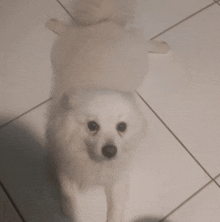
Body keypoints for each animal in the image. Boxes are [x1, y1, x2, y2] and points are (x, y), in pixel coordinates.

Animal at [45, 0, 169, 222]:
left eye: (122, 127)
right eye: (92, 125)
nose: (110, 151)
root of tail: (106, 23)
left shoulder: (118, 180)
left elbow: (115, 209)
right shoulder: (63, 163)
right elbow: (68, 192)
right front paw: (69, 209)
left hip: (137, 54)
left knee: (145, 42)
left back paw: (163, 46)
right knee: (69, 29)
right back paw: (53, 23)